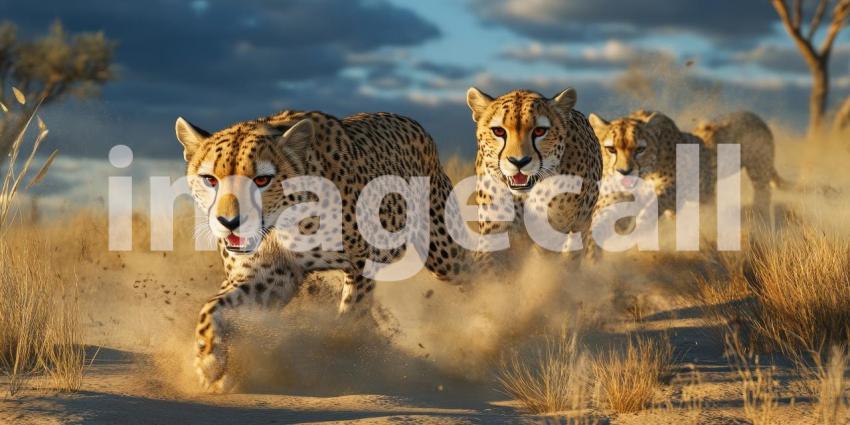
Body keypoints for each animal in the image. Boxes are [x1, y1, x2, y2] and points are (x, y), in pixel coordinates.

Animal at [175, 110, 468, 392]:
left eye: (262, 180)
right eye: (210, 180)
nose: (229, 222)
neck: (283, 223)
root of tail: (409, 120)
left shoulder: (361, 265)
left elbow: (350, 316)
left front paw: (342, 359)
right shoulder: (269, 275)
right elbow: (211, 308)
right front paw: (209, 361)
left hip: (444, 254)